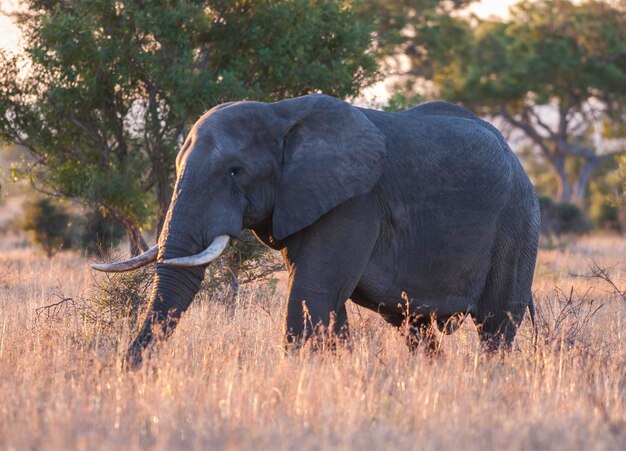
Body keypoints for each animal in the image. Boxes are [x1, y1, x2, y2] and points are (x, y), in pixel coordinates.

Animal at [91, 94, 536, 368]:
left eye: (235, 172)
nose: (123, 370)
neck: (280, 113)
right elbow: (325, 304)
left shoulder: (355, 203)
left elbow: (313, 292)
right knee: (416, 329)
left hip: (517, 224)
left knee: (496, 325)